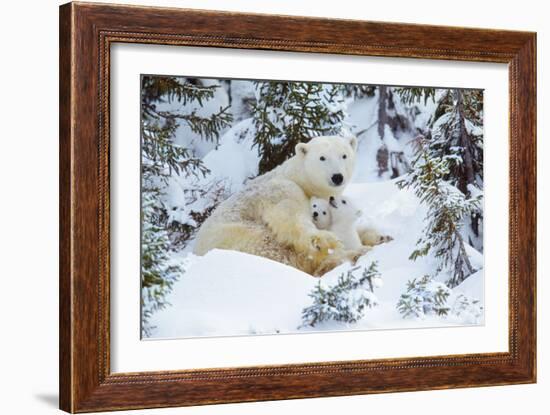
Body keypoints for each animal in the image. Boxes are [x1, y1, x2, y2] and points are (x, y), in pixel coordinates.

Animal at [194, 136, 366, 276]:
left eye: (344, 155)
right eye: (322, 158)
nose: (337, 177)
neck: (298, 179)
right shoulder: (282, 189)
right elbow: (290, 218)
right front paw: (325, 242)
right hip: (240, 235)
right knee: (274, 249)